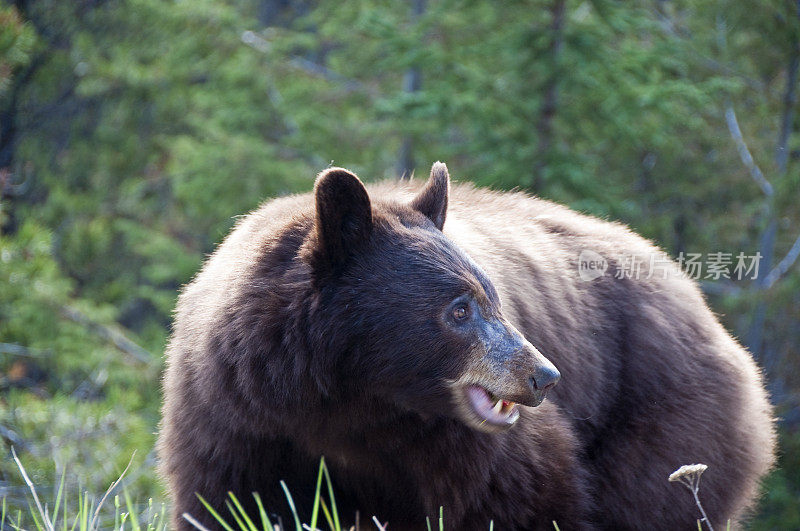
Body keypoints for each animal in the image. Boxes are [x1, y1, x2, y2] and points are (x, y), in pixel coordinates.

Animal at [156, 163, 776, 531]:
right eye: (460, 308)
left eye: (494, 296)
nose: (544, 375)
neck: (348, 402)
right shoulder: (236, 417)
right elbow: (226, 500)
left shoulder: (473, 451)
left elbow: (532, 499)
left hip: (669, 419)